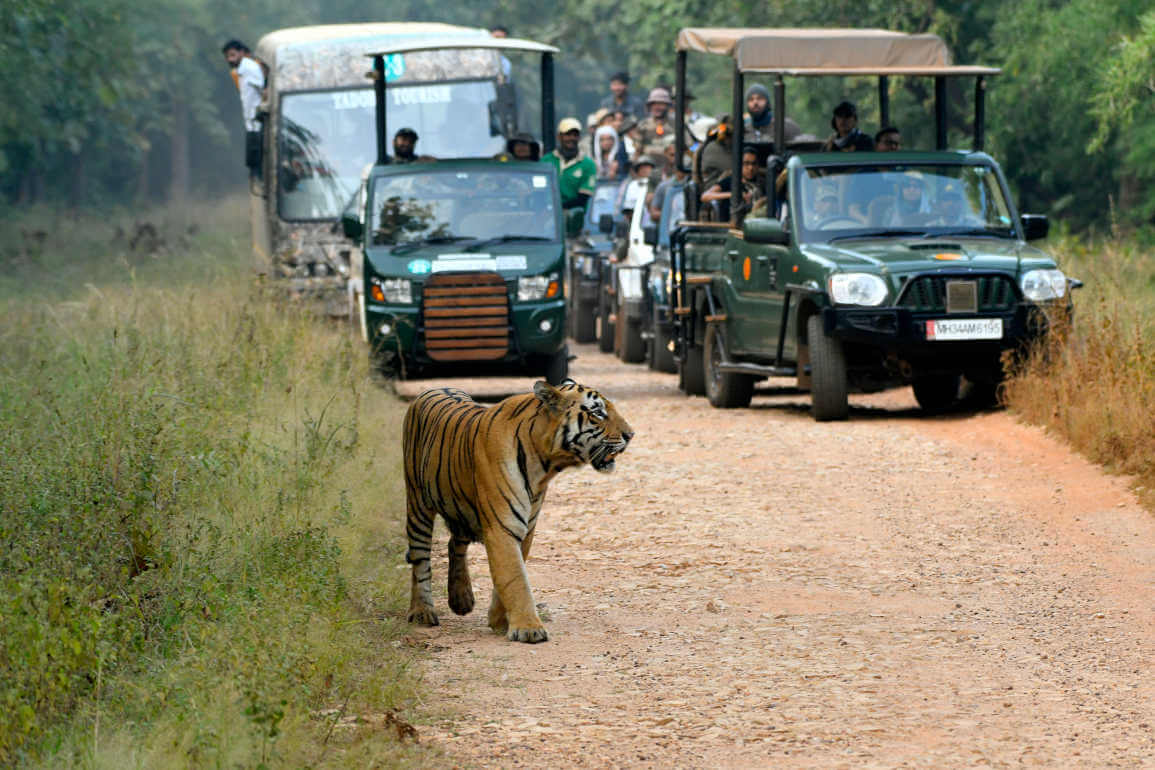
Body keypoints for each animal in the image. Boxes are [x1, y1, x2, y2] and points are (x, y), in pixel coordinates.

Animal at [399, 378, 632, 646]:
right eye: (598, 413)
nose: (631, 435)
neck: (546, 464)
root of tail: (433, 389)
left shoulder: (527, 527)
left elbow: (509, 576)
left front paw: (500, 621)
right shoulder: (503, 526)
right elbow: (515, 578)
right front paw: (529, 628)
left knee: (454, 543)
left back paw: (461, 600)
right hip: (417, 504)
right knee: (420, 561)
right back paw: (421, 611)